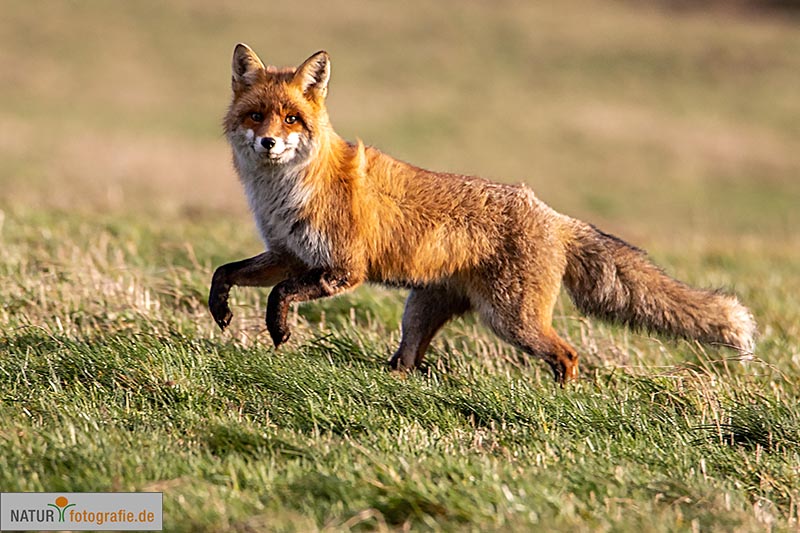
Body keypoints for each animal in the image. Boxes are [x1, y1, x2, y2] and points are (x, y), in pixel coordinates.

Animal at [208, 43, 756, 380]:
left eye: (292, 118)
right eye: (256, 115)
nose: (269, 143)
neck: (288, 192)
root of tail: (553, 215)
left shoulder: (343, 268)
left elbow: (279, 295)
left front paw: (279, 330)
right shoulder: (289, 254)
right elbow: (225, 272)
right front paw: (221, 311)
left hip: (512, 321)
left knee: (568, 355)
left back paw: (557, 402)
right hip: (421, 310)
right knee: (407, 362)